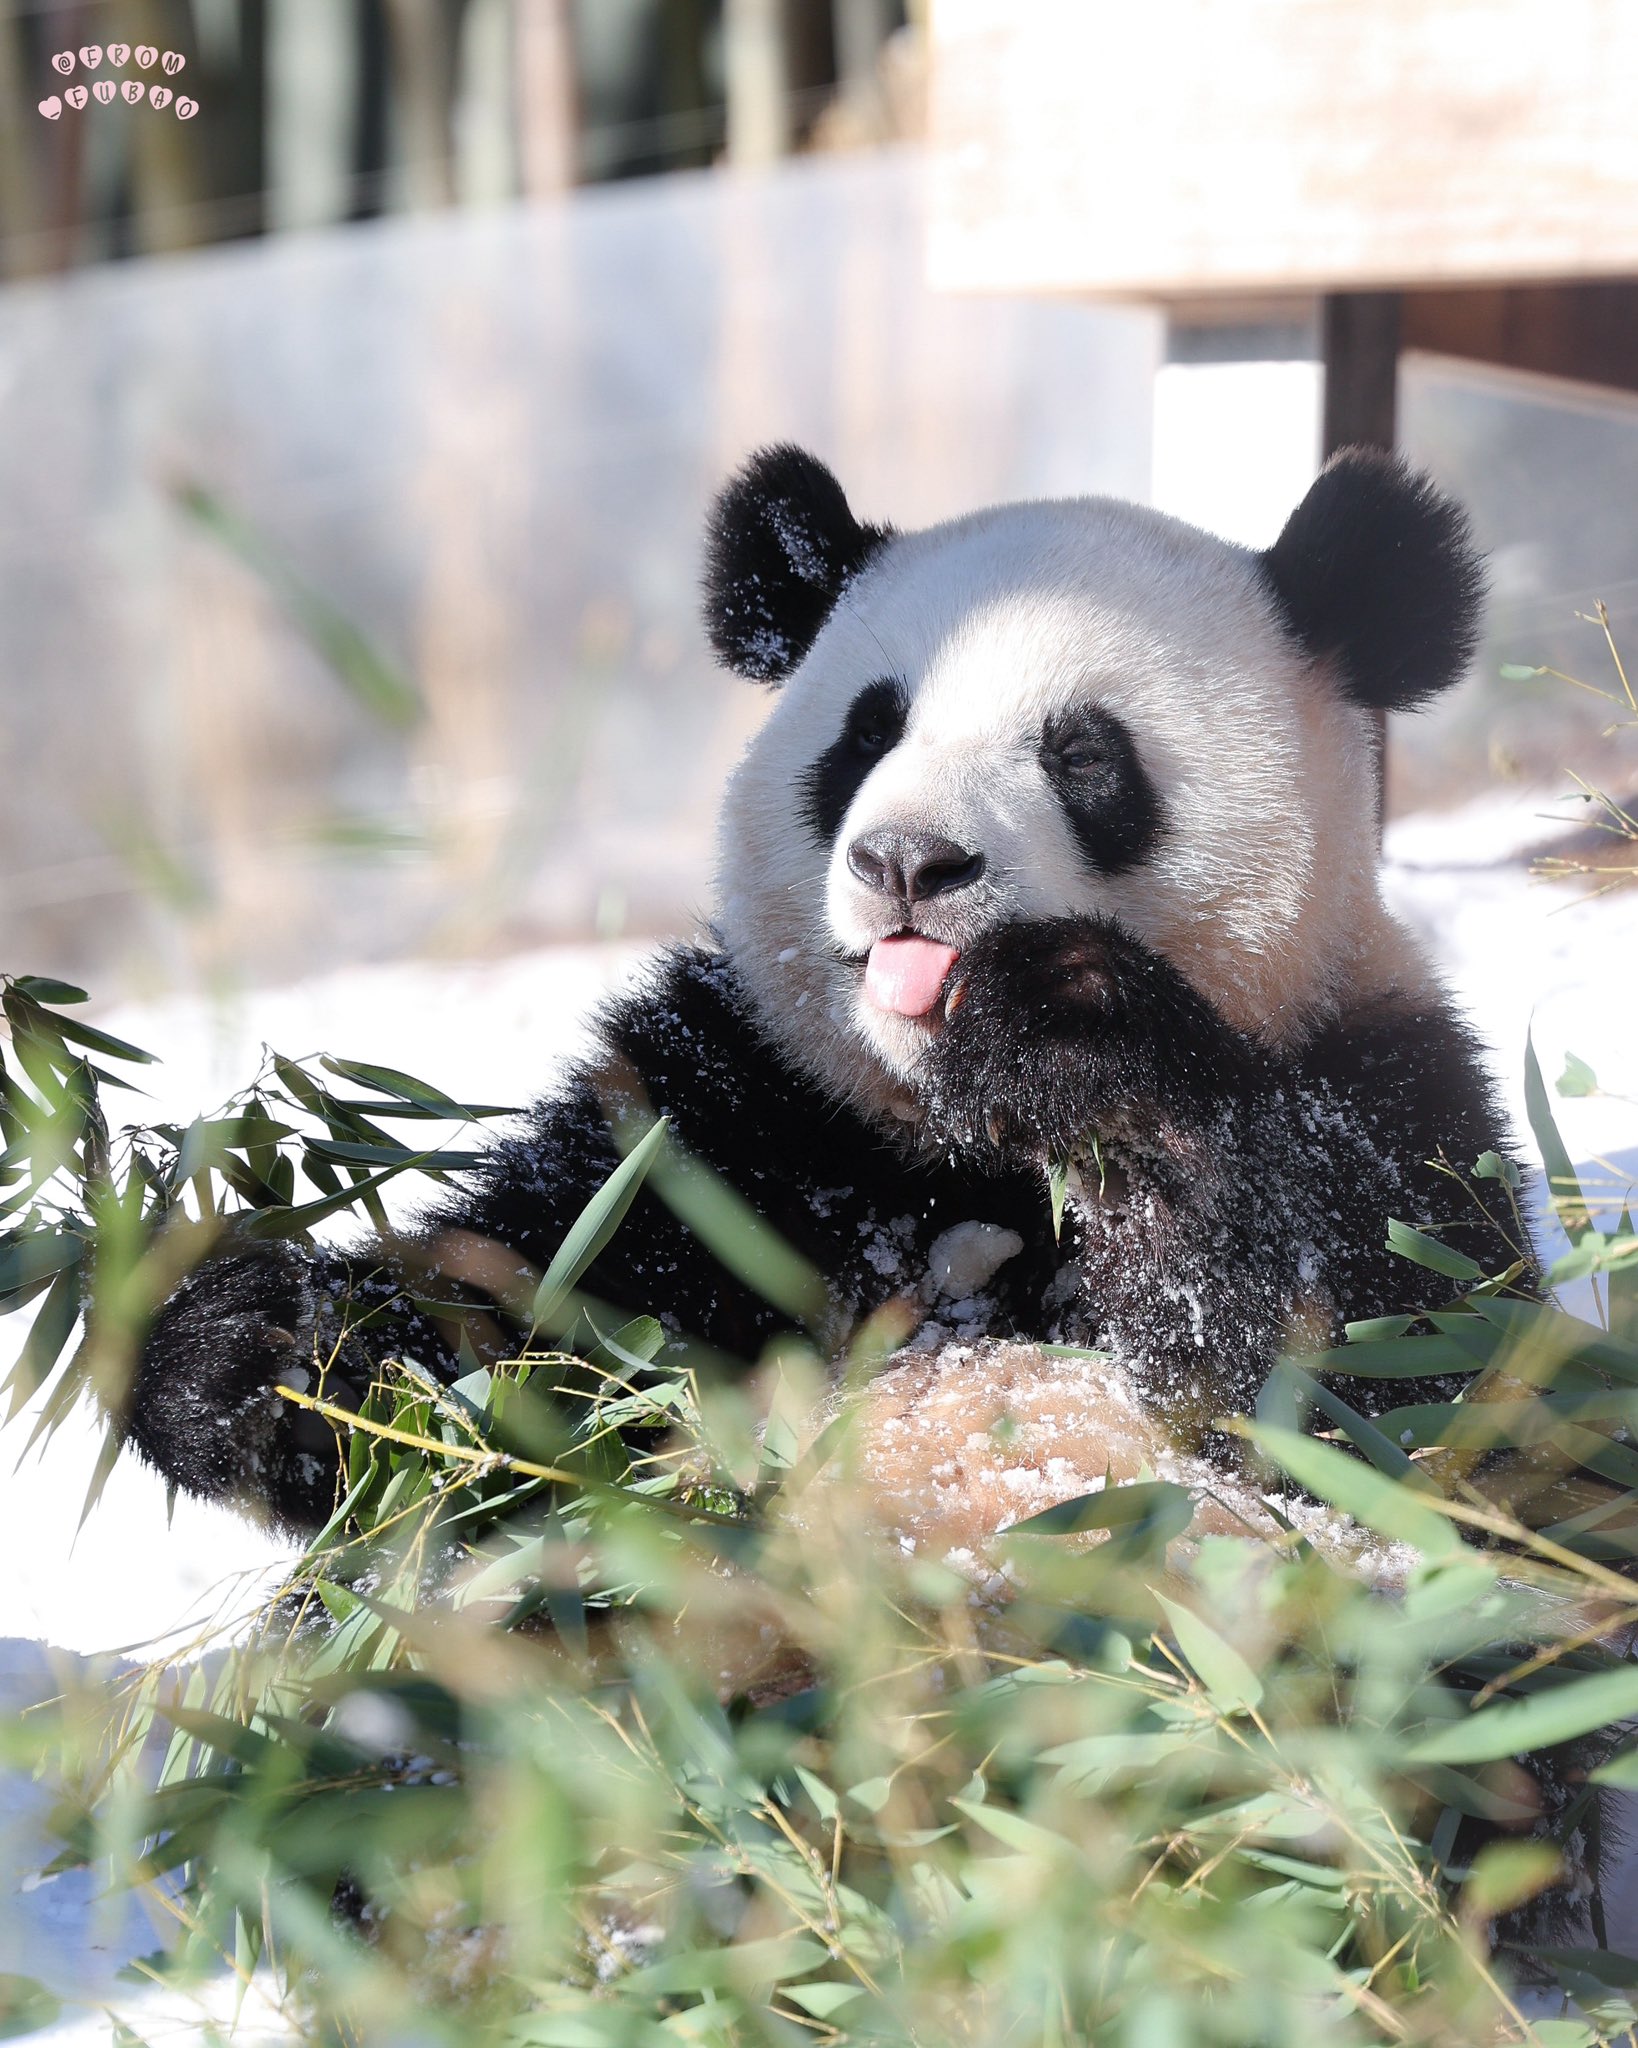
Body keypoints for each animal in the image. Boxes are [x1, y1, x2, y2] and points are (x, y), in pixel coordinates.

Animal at [121, 448, 1515, 1540]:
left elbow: (1372, 1385)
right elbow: (524, 1328)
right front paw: (255, 1348)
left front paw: (1069, 1032)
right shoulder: (733, 1120)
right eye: (867, 731)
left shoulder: (1385, 1087)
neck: (950, 1146)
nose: (908, 861)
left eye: (1082, 753)